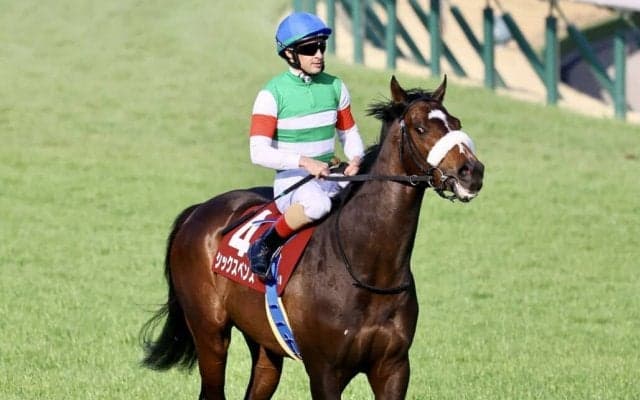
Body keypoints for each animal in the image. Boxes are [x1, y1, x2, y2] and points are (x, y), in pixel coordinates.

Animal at [140, 76, 484, 399]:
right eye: (420, 128)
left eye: (456, 123)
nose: (472, 171)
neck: (368, 269)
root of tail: (197, 211)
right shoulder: (324, 371)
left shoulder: (394, 367)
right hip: (210, 333)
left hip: (264, 345)